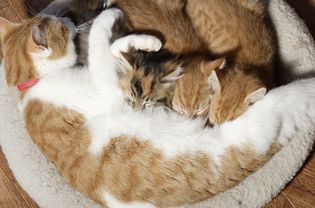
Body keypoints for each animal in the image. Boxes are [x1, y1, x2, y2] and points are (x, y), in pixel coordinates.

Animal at [0, 6, 315, 208]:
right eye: (63, 27)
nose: (67, 17)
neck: (32, 84)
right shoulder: (106, 88)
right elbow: (102, 31)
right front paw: (114, 17)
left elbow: (113, 47)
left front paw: (142, 41)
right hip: (261, 121)